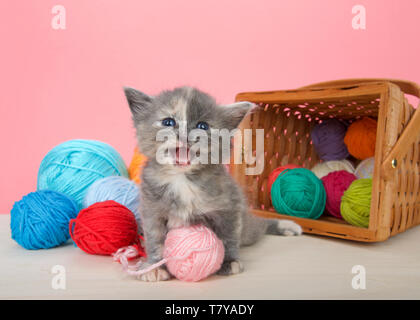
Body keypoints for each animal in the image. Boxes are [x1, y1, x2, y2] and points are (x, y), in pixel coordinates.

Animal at [124, 86, 302, 282]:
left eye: (202, 126)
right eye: (168, 122)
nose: (184, 135)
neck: (182, 178)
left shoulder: (230, 206)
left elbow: (228, 236)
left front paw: (229, 261)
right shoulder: (151, 210)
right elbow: (154, 239)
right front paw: (154, 266)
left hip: (247, 229)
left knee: (258, 226)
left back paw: (286, 226)